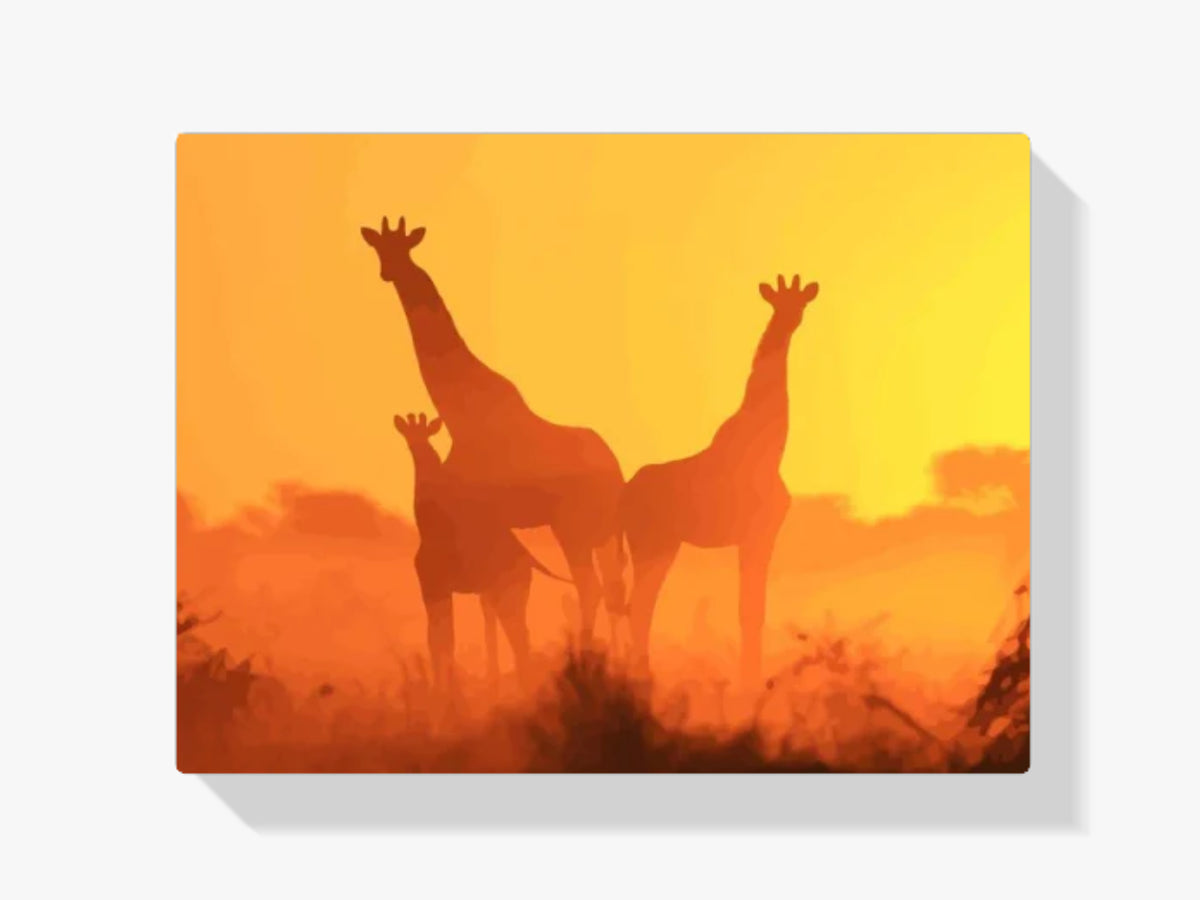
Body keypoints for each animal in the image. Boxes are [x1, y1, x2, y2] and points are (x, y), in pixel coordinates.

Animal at [361, 217, 627, 654]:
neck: (459, 412)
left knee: (593, 589)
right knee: (617, 592)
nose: (389, 272)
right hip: (602, 531)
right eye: (379, 248)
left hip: (572, 527)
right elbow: (488, 602)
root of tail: (615, 471)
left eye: (404, 247)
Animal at [392, 412, 571, 690]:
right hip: (507, 593)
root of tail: (530, 560)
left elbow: (442, 639)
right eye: (409, 436)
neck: (431, 526)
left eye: (425, 435)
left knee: (519, 636)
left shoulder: (435, 585)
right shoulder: (433, 587)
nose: (420, 453)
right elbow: (438, 639)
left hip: (507, 592)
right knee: (518, 635)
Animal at [620, 274, 820, 686]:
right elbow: (749, 610)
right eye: (778, 302)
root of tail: (622, 495)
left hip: (661, 545)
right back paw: (643, 677)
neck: (769, 452)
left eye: (801, 303)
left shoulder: (762, 534)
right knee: (641, 605)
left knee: (639, 604)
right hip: (651, 542)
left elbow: (754, 609)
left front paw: (752, 680)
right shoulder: (757, 532)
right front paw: (750, 685)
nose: (789, 322)